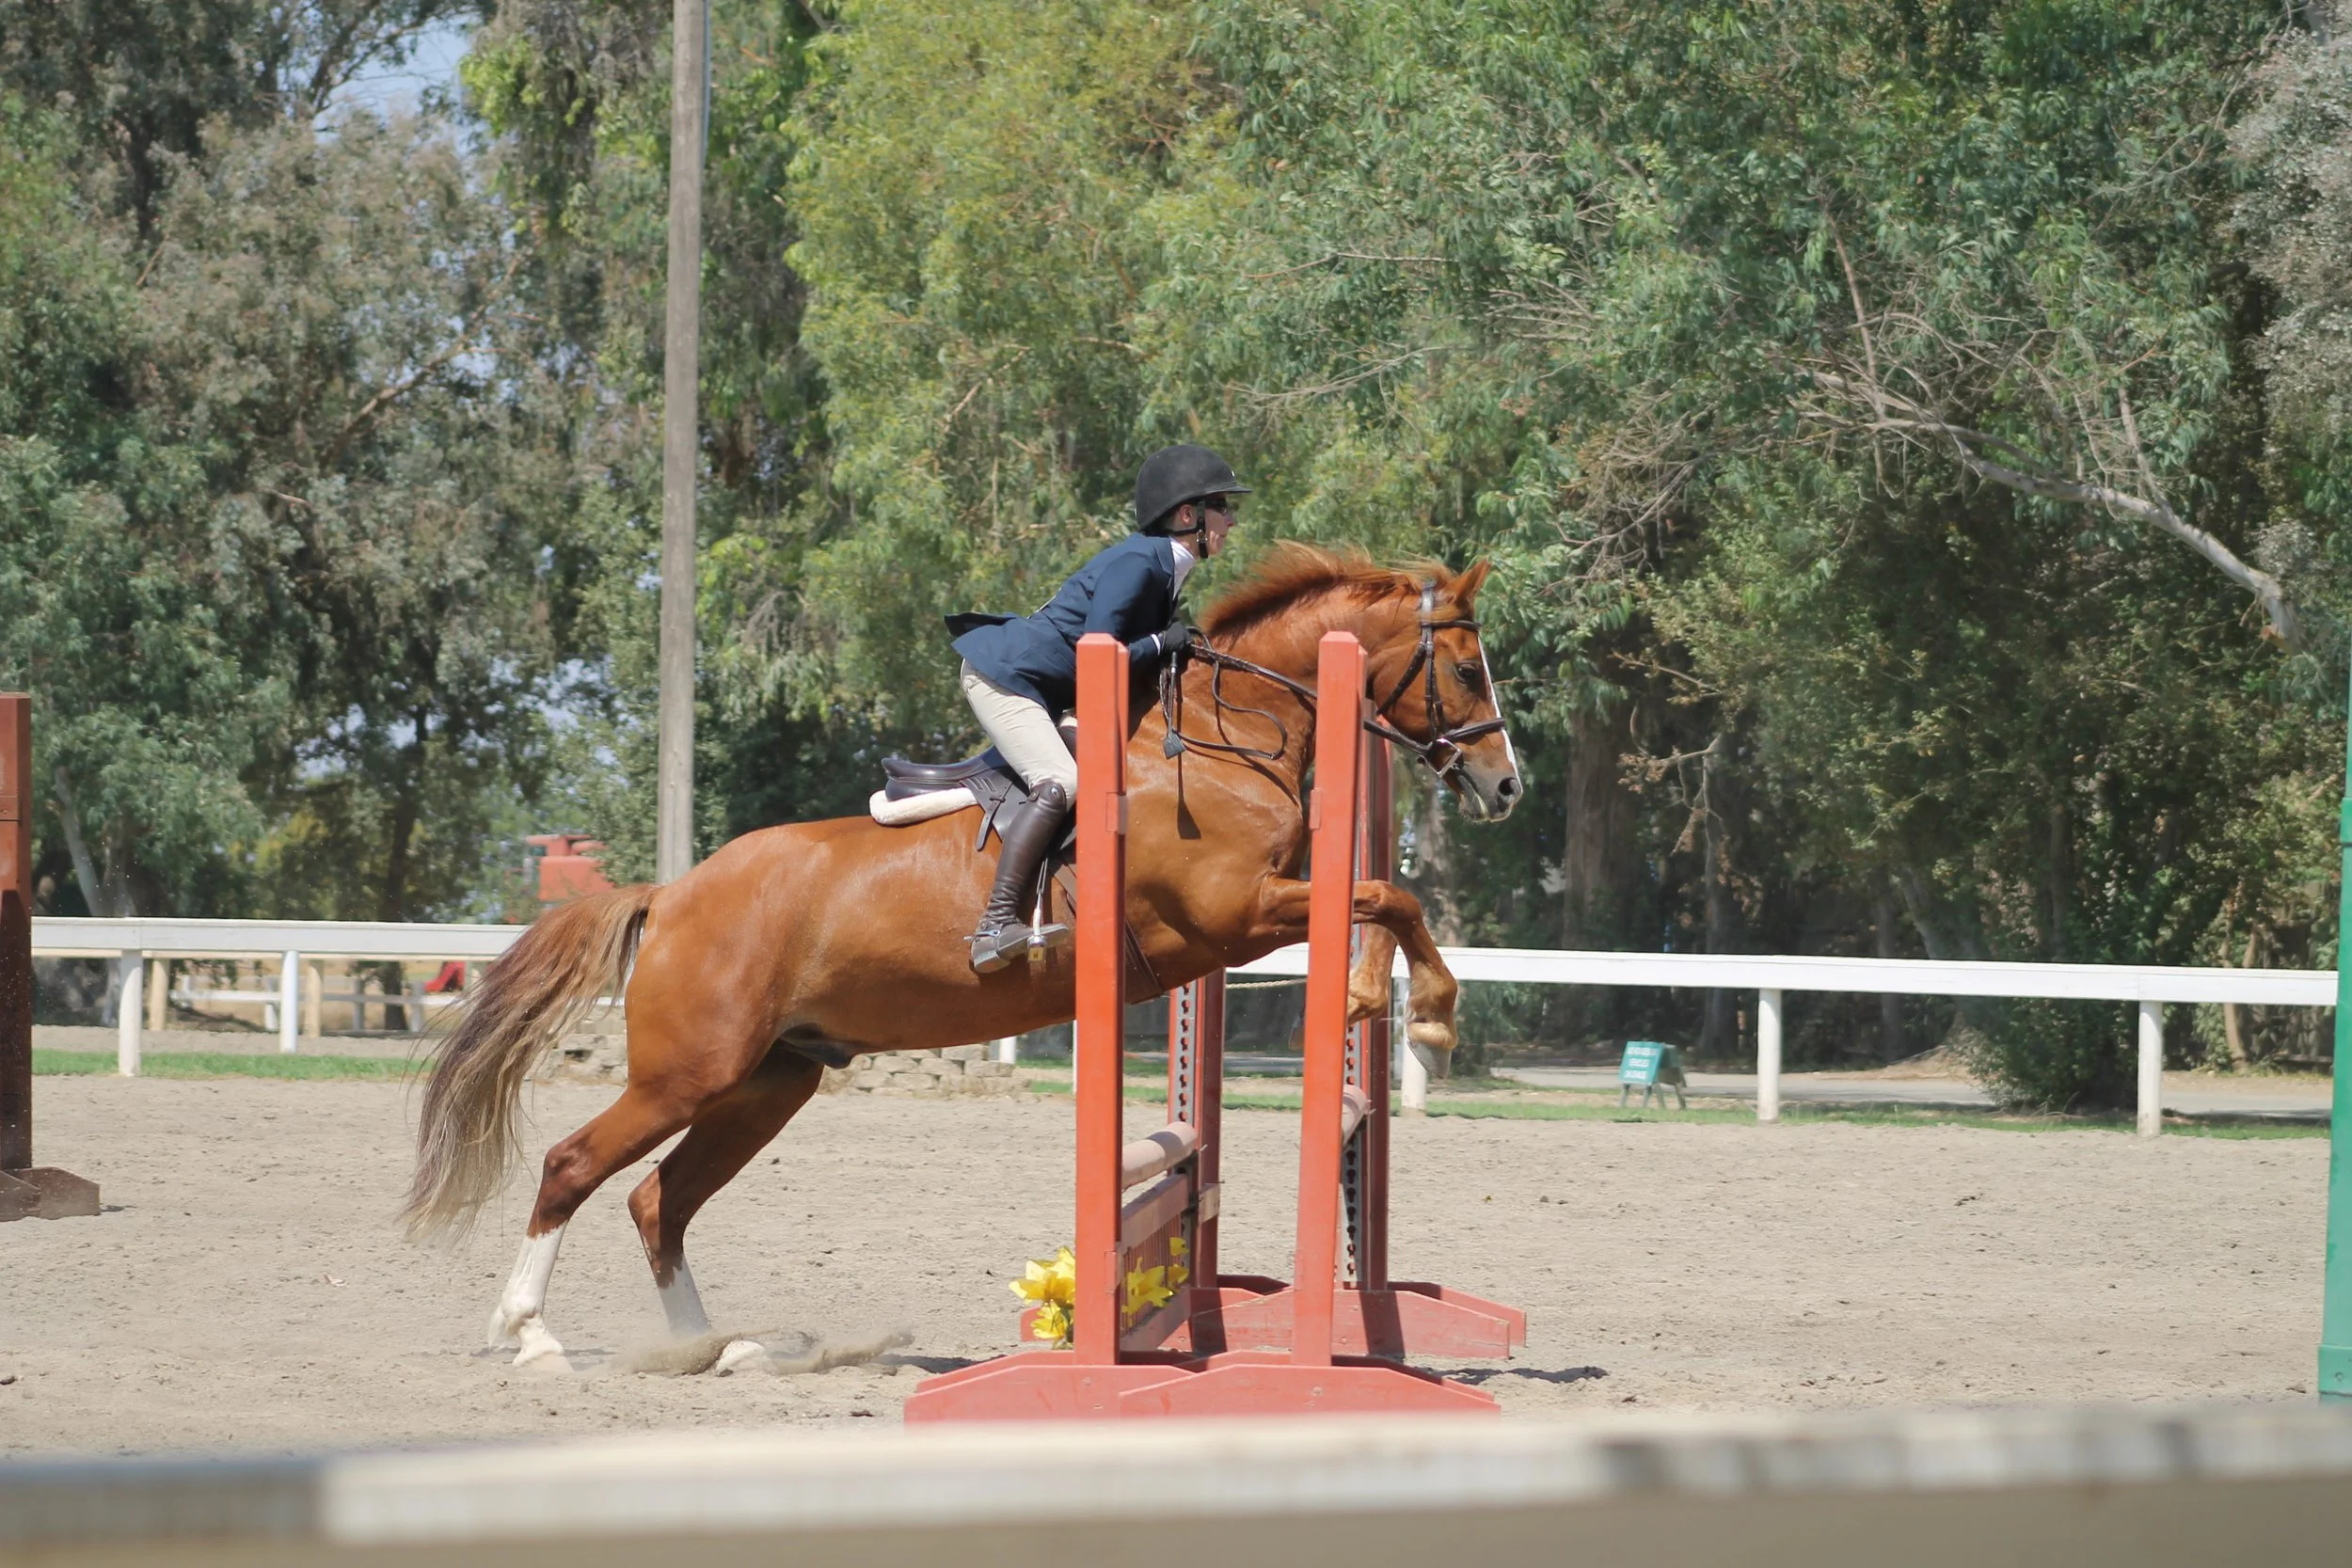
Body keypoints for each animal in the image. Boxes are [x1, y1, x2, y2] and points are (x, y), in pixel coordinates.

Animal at [403, 545, 1523, 1367]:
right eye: (1468, 668)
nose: (1505, 786)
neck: (1217, 739)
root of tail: (672, 891)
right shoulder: (1230, 914)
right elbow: (1389, 895)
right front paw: (1424, 1014)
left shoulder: (1248, 916)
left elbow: (1388, 900)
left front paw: (1388, 1003)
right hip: (690, 1071)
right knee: (574, 1164)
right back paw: (533, 1336)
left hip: (769, 1081)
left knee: (657, 1199)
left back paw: (711, 1348)